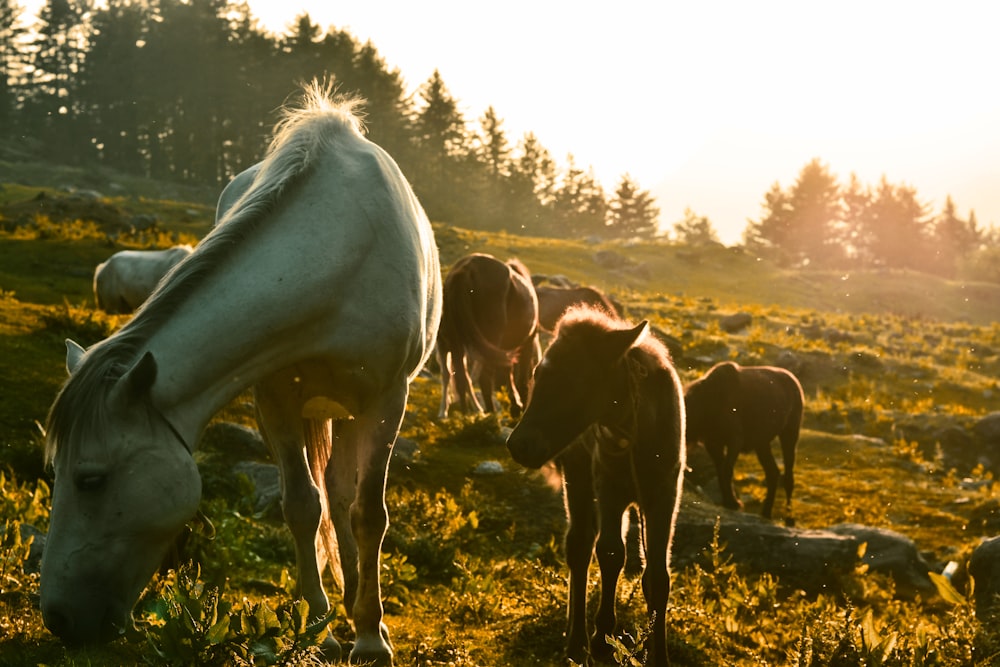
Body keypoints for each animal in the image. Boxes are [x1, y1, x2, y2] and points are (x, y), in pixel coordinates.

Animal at [42, 83, 442, 667]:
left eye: (90, 479)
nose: (60, 619)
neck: (335, 256)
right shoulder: (274, 398)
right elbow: (303, 506)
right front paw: (318, 629)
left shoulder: (386, 399)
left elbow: (369, 513)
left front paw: (370, 637)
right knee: (332, 493)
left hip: (354, 409)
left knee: (349, 498)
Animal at [440, 253, 544, 420]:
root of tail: (467, 269)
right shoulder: (526, 344)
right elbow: (521, 379)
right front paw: (519, 406)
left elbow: (508, 372)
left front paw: (516, 405)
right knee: (485, 378)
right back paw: (491, 414)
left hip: (457, 343)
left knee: (462, 378)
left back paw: (466, 415)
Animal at [508, 308, 688, 667]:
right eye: (538, 373)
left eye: (578, 379)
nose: (519, 446)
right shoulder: (608, 488)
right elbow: (610, 553)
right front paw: (602, 638)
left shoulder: (663, 495)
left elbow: (657, 577)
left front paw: (658, 655)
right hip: (578, 477)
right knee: (579, 546)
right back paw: (576, 641)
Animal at [688, 360, 804, 520]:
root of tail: (797, 384)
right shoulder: (713, 443)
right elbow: (720, 471)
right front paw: (728, 501)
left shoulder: (735, 438)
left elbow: (727, 470)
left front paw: (733, 502)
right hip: (762, 443)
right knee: (773, 472)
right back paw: (766, 512)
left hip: (790, 432)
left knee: (788, 476)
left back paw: (789, 516)